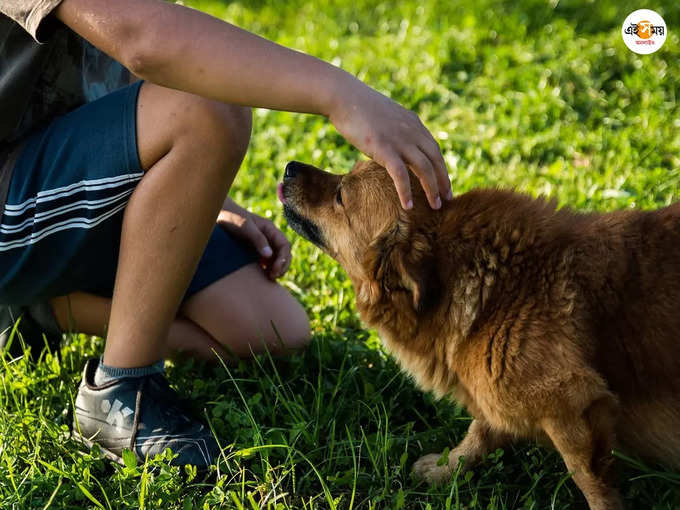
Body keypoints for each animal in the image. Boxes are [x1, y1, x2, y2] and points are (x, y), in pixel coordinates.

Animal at [278, 159, 680, 510]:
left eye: (340, 195)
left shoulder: (572, 404)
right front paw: (447, 468)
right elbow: (480, 432)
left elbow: (590, 480)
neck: (495, 288)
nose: (290, 167)